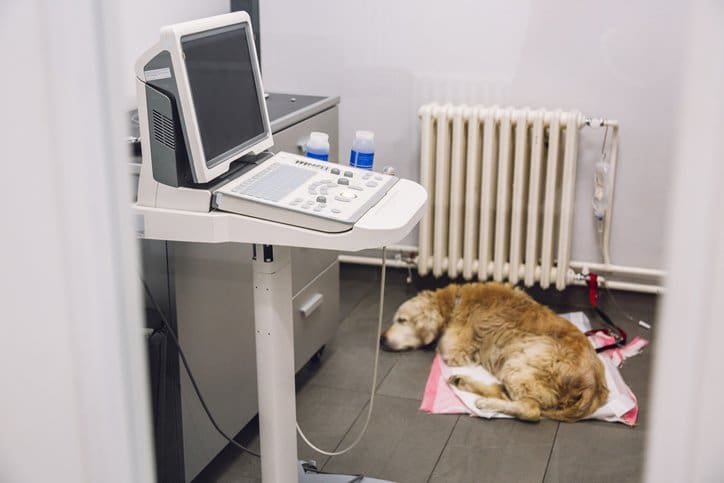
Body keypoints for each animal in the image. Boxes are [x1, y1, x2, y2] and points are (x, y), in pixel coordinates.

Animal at [382, 282, 608, 422]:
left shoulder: (452, 348)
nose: (381, 339)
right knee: (505, 392)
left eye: (401, 320)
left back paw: (486, 402)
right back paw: (463, 382)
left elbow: (443, 347)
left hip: (521, 362)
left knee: (530, 409)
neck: (454, 302)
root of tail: (592, 383)